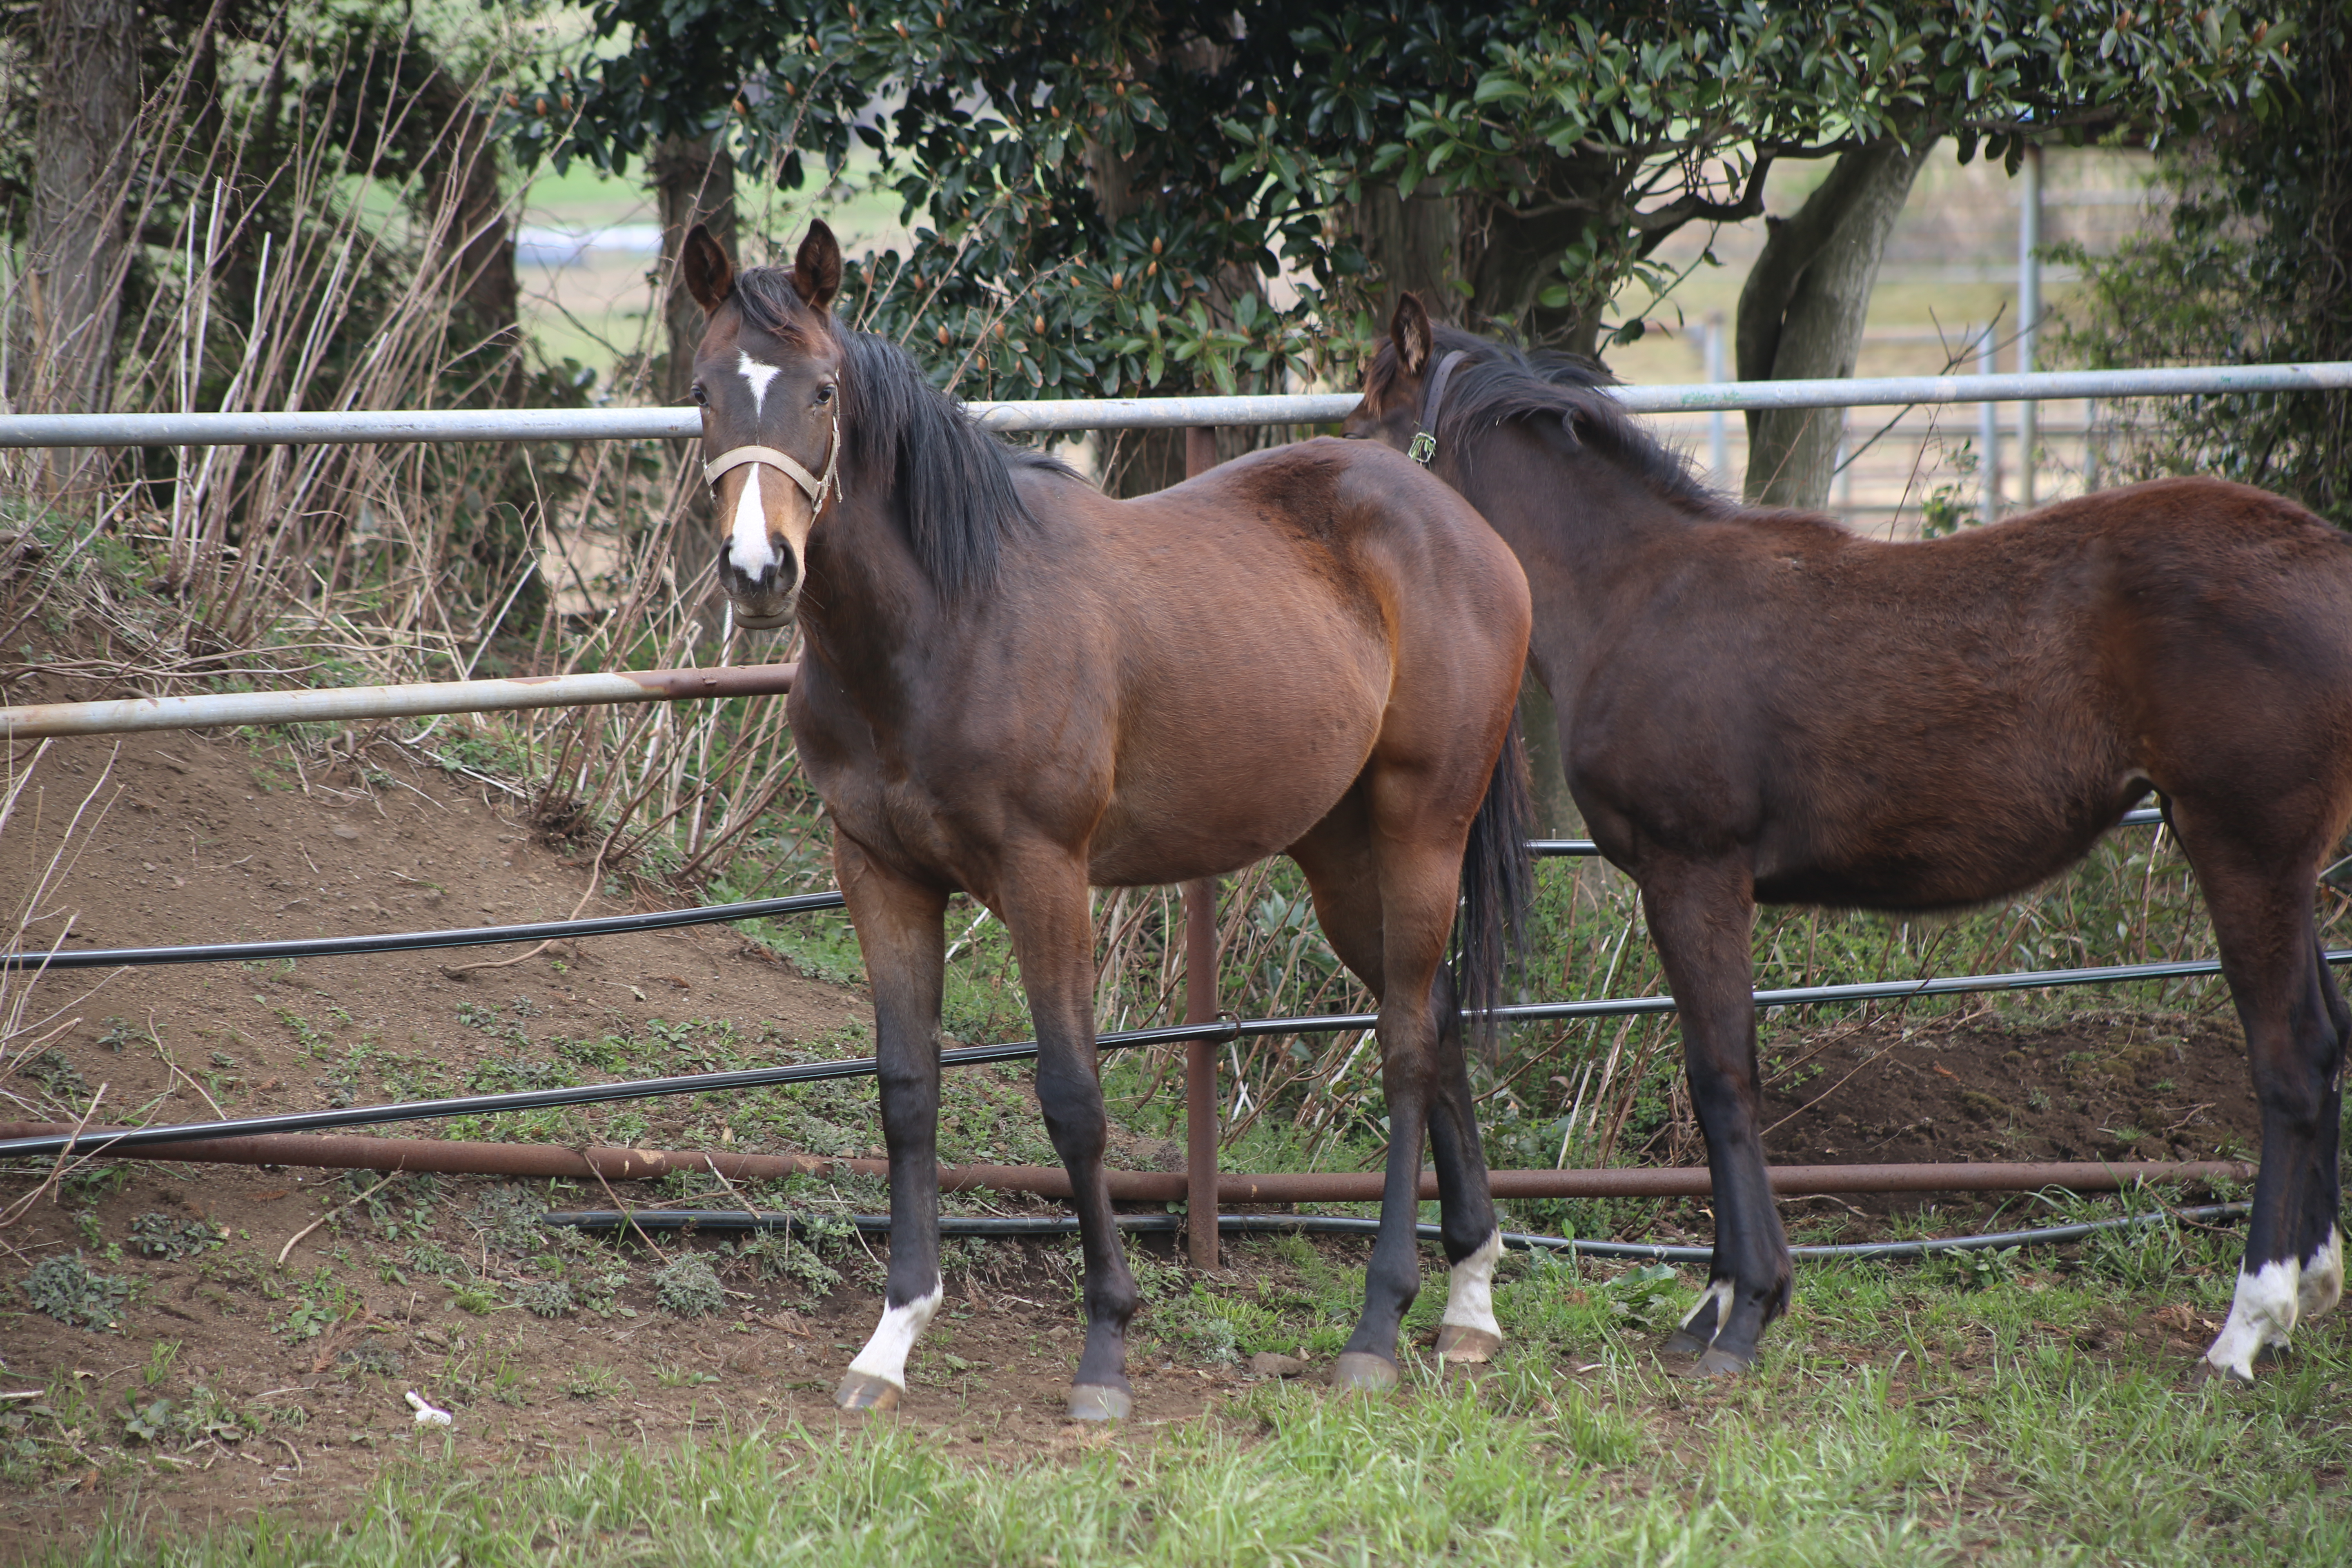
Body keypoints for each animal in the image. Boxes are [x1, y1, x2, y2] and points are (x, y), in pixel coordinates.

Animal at [677, 230, 1543, 1420]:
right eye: (704, 394)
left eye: (820, 391)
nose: (760, 572)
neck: (948, 622)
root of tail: (1462, 527)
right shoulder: (880, 874)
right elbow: (907, 1093)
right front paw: (890, 1340)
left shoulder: (1045, 876)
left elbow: (1071, 1098)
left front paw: (1104, 1350)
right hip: (1339, 852)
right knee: (1439, 1016)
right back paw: (1469, 1302)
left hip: (1423, 827)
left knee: (1409, 1046)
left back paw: (1376, 1326)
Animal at [1345, 297, 2352, 1382]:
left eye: (1362, 423)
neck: (1635, 594)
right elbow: (1716, 1072)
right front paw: (1713, 1303)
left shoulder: (1692, 874)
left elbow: (1722, 1079)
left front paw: (1744, 1313)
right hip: (2280, 868)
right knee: (2327, 1041)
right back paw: (2310, 1289)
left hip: (2244, 852)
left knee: (2290, 1062)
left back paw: (2244, 1326)